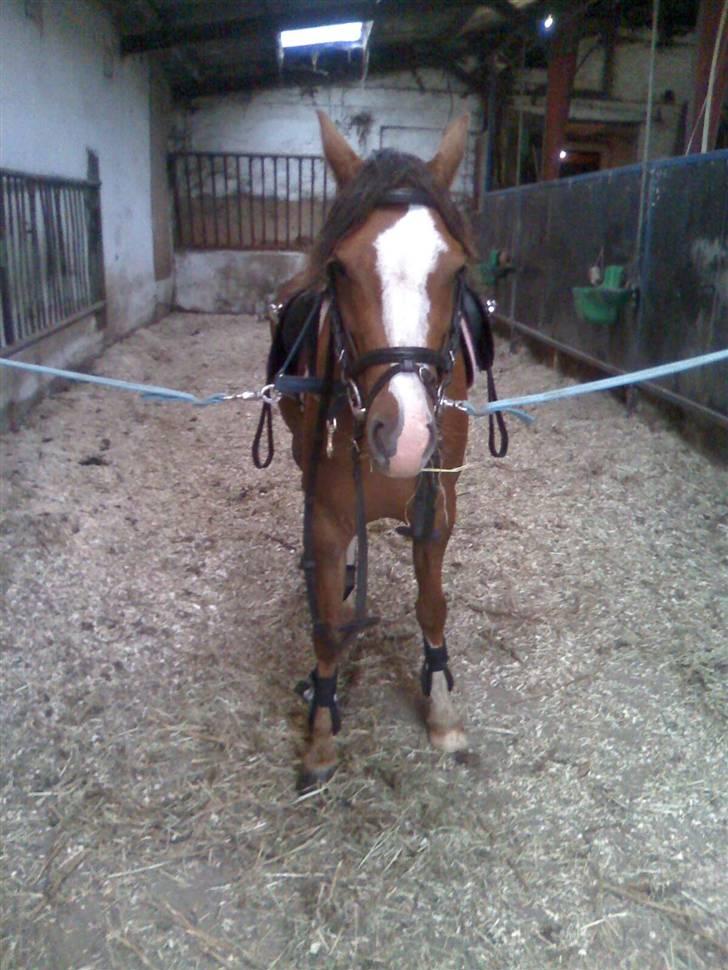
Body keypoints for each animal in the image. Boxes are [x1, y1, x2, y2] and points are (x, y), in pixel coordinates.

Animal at [257, 112, 506, 788]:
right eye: (341, 269)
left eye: (455, 269)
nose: (406, 436)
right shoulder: (326, 515)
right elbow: (326, 630)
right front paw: (321, 730)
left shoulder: (436, 511)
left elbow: (432, 607)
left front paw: (442, 711)